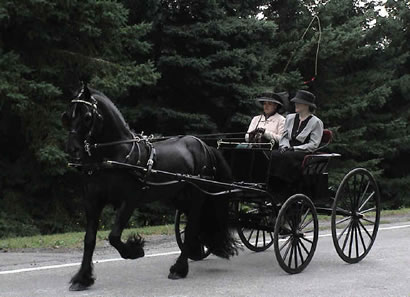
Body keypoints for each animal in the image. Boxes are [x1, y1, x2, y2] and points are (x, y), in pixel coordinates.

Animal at [60, 84, 237, 290]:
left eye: (87, 116)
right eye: (67, 116)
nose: (73, 149)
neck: (114, 155)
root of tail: (204, 146)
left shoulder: (129, 200)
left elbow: (114, 236)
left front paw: (135, 250)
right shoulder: (92, 201)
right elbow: (89, 239)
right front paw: (82, 278)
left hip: (197, 196)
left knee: (192, 228)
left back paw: (179, 269)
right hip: (179, 197)